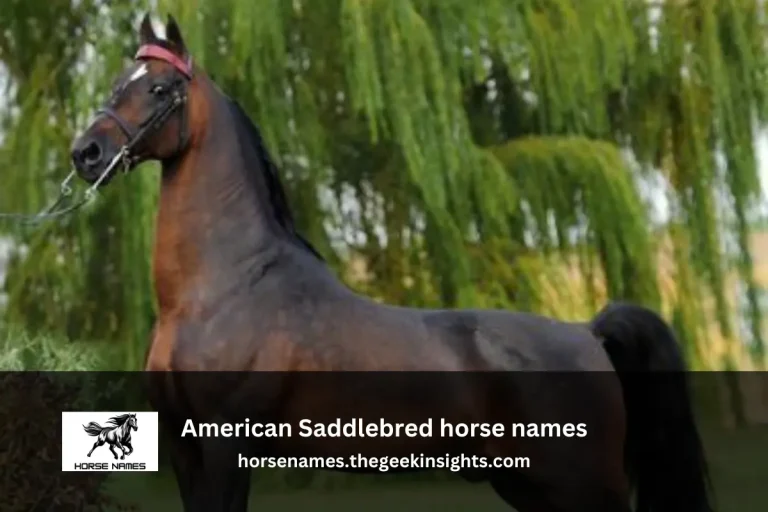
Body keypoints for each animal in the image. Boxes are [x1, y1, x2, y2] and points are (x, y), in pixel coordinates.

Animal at [69, 14, 714, 512]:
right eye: (116, 82)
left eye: (158, 90)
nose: (87, 153)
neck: (221, 290)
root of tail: (588, 331)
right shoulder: (183, 446)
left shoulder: (228, 445)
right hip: (530, 485)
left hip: (581, 484)